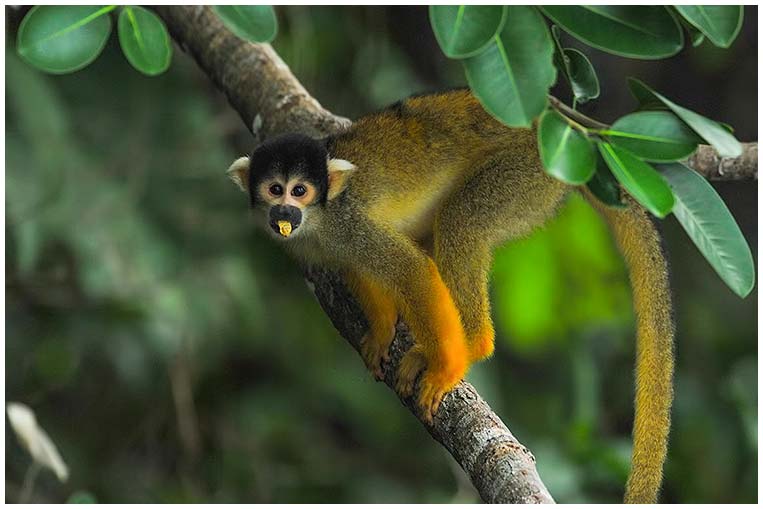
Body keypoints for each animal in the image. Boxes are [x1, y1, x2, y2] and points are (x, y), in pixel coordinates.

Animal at [227, 89, 674, 504]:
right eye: (275, 189)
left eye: (300, 191)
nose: (285, 213)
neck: (318, 221)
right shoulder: (329, 244)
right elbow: (358, 270)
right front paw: (382, 330)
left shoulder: (348, 223)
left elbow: (410, 270)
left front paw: (444, 367)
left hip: (530, 175)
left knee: (462, 221)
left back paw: (471, 344)